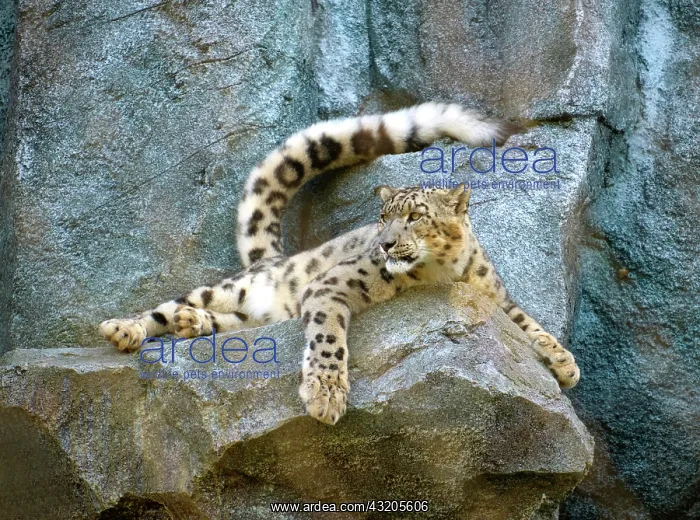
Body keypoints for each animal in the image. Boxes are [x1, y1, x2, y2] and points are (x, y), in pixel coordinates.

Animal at [100, 102, 580, 425]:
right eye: (383, 218)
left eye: (415, 217)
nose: (386, 244)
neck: (439, 274)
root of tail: (277, 258)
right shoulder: (334, 283)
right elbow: (328, 337)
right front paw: (326, 397)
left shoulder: (494, 293)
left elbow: (528, 322)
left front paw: (564, 363)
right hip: (231, 287)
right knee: (166, 308)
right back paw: (126, 328)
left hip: (255, 316)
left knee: (232, 324)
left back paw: (193, 323)